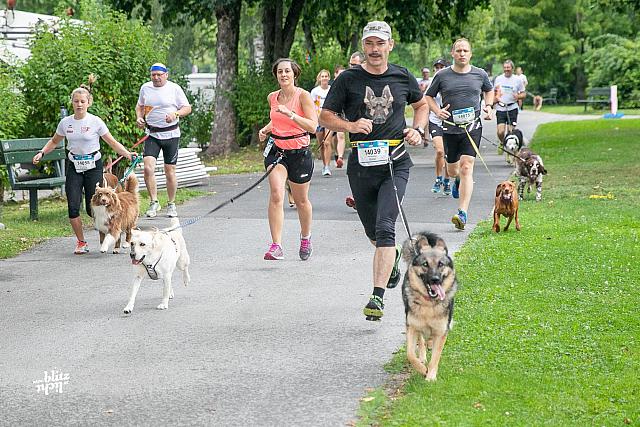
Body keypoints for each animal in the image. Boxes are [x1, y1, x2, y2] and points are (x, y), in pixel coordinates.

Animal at [402, 232, 458, 382]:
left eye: (441, 264)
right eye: (425, 264)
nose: (435, 279)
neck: (429, 304)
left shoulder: (441, 331)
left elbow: (436, 357)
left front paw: (431, 376)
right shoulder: (412, 327)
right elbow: (410, 354)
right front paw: (422, 369)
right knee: (421, 340)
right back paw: (422, 357)